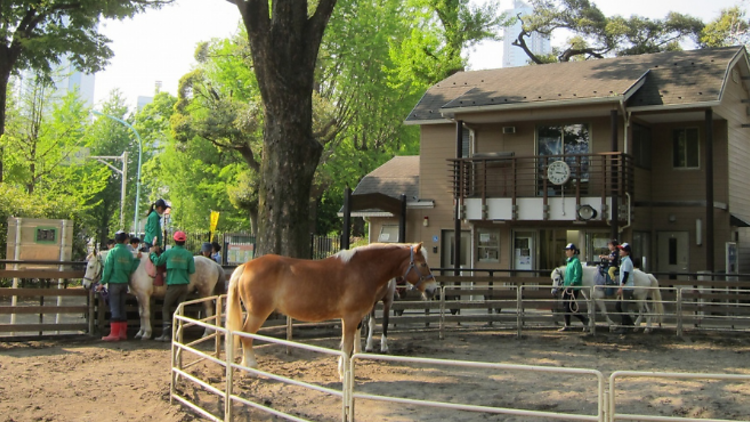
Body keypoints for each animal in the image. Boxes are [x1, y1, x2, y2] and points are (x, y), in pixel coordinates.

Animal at [82, 251, 225, 340]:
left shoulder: (144, 295)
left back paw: (207, 333)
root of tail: (214, 264)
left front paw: (146, 334)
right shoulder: (139, 296)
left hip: (205, 292)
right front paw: (140, 332)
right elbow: (141, 314)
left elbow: (146, 314)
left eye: (91, 266)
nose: (85, 284)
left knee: (209, 310)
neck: (135, 267)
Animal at [226, 242, 438, 378]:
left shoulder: (352, 318)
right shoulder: (351, 317)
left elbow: (347, 346)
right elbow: (346, 347)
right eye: (423, 264)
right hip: (257, 314)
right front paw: (344, 374)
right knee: (245, 336)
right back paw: (251, 368)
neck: (362, 269)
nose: (433, 289)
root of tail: (245, 266)